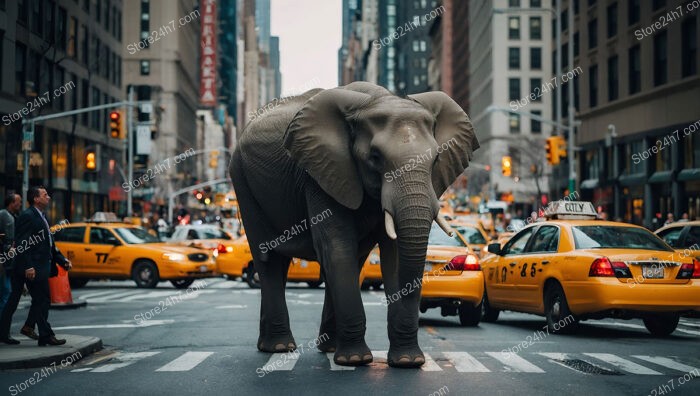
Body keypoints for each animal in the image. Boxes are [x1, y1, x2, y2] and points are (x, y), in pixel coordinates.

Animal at [231, 80, 482, 368]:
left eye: (436, 160)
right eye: (375, 157)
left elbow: (394, 258)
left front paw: (406, 362)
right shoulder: (320, 174)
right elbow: (337, 247)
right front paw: (356, 360)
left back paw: (324, 348)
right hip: (243, 182)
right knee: (269, 260)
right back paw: (281, 347)